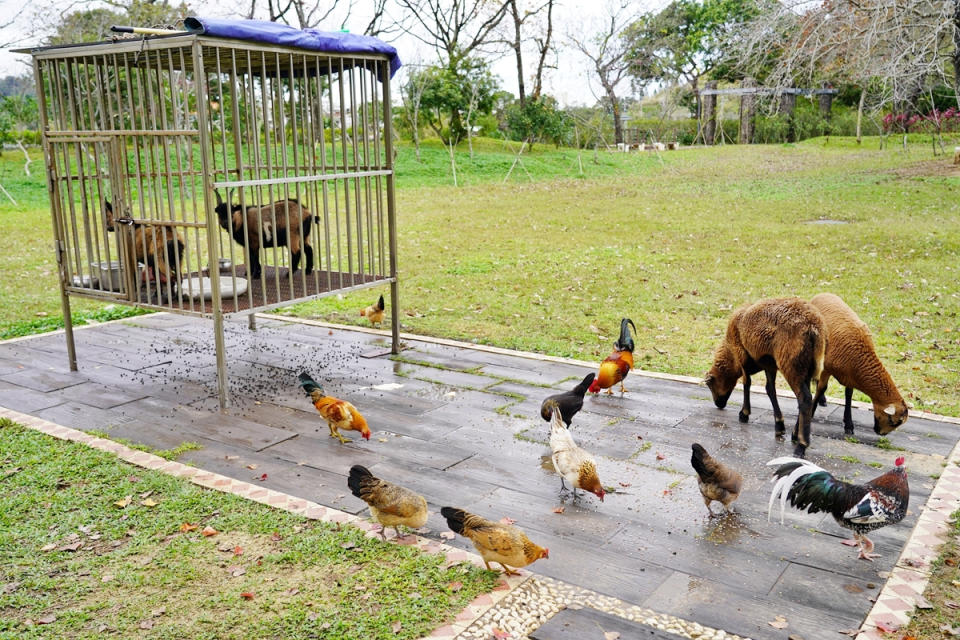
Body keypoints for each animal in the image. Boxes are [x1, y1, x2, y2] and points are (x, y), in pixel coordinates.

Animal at [700, 298, 828, 458]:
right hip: (806, 367)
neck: (731, 356)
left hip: (791, 364)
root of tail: (813, 327)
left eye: (711, 385)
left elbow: (746, 383)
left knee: (804, 399)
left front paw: (744, 414)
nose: (719, 404)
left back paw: (801, 446)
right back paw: (794, 434)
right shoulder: (769, 364)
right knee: (806, 398)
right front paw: (779, 424)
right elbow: (770, 390)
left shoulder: (741, 355)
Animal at [808, 294, 908, 436]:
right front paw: (811, 412)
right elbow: (822, 387)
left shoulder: (850, 375)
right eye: (892, 421)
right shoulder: (827, 368)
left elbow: (848, 395)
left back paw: (823, 400)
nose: (881, 433)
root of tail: (822, 294)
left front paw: (849, 424)